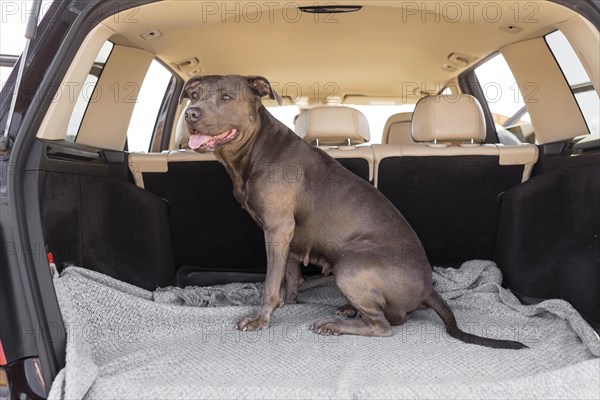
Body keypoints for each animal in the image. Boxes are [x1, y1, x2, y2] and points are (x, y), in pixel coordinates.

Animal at [182, 73, 524, 348]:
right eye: (195, 95)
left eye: (227, 97)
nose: (190, 113)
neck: (253, 150)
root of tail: (428, 290)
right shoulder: (287, 235)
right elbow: (289, 275)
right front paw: (289, 302)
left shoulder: (277, 229)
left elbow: (270, 283)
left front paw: (261, 319)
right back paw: (348, 310)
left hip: (350, 265)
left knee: (385, 326)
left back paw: (335, 325)